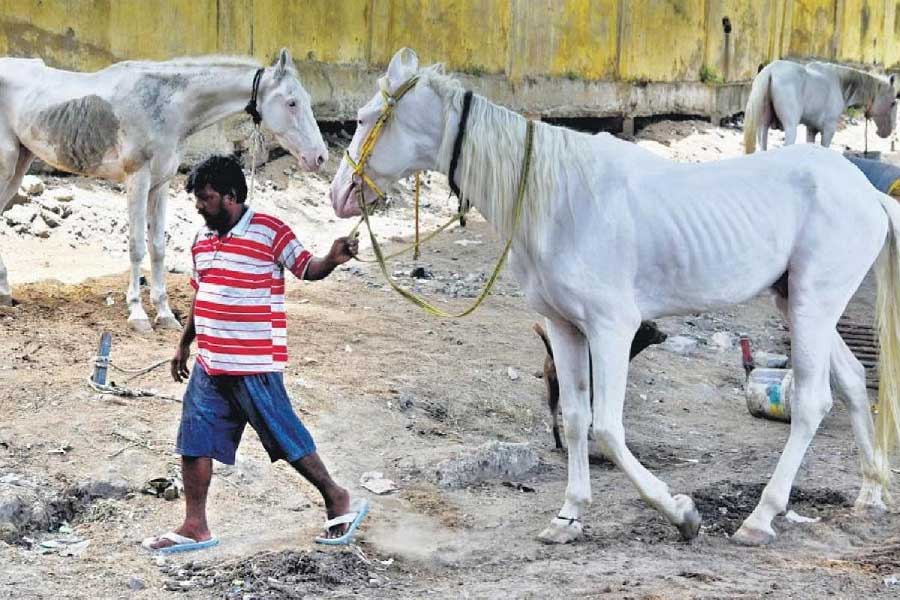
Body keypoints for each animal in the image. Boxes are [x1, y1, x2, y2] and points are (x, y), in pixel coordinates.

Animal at [0, 49, 327, 331]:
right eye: (292, 102)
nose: (320, 157)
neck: (167, 106)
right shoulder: (137, 179)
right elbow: (136, 246)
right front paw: (137, 314)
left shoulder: (160, 183)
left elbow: (157, 247)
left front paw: (165, 314)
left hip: (20, 164)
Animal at [744, 59, 897, 153]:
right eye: (893, 103)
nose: (886, 133)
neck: (839, 83)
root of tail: (771, 71)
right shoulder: (828, 130)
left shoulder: (811, 129)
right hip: (790, 127)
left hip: (762, 127)